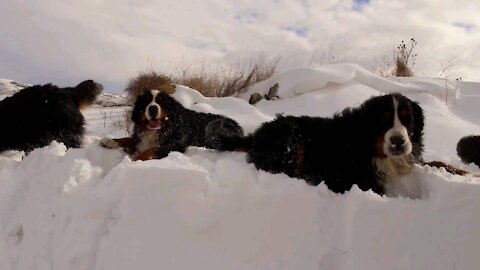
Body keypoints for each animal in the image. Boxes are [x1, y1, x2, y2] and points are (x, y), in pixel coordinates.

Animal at [101, 88, 244, 160]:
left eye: (161, 102)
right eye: (146, 102)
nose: (153, 108)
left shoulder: (175, 145)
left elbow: (151, 150)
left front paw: (134, 159)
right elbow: (128, 139)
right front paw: (110, 141)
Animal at [219, 93, 426, 194]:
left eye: (408, 120)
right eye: (382, 121)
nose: (398, 142)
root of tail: (258, 133)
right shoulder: (343, 179)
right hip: (292, 140)